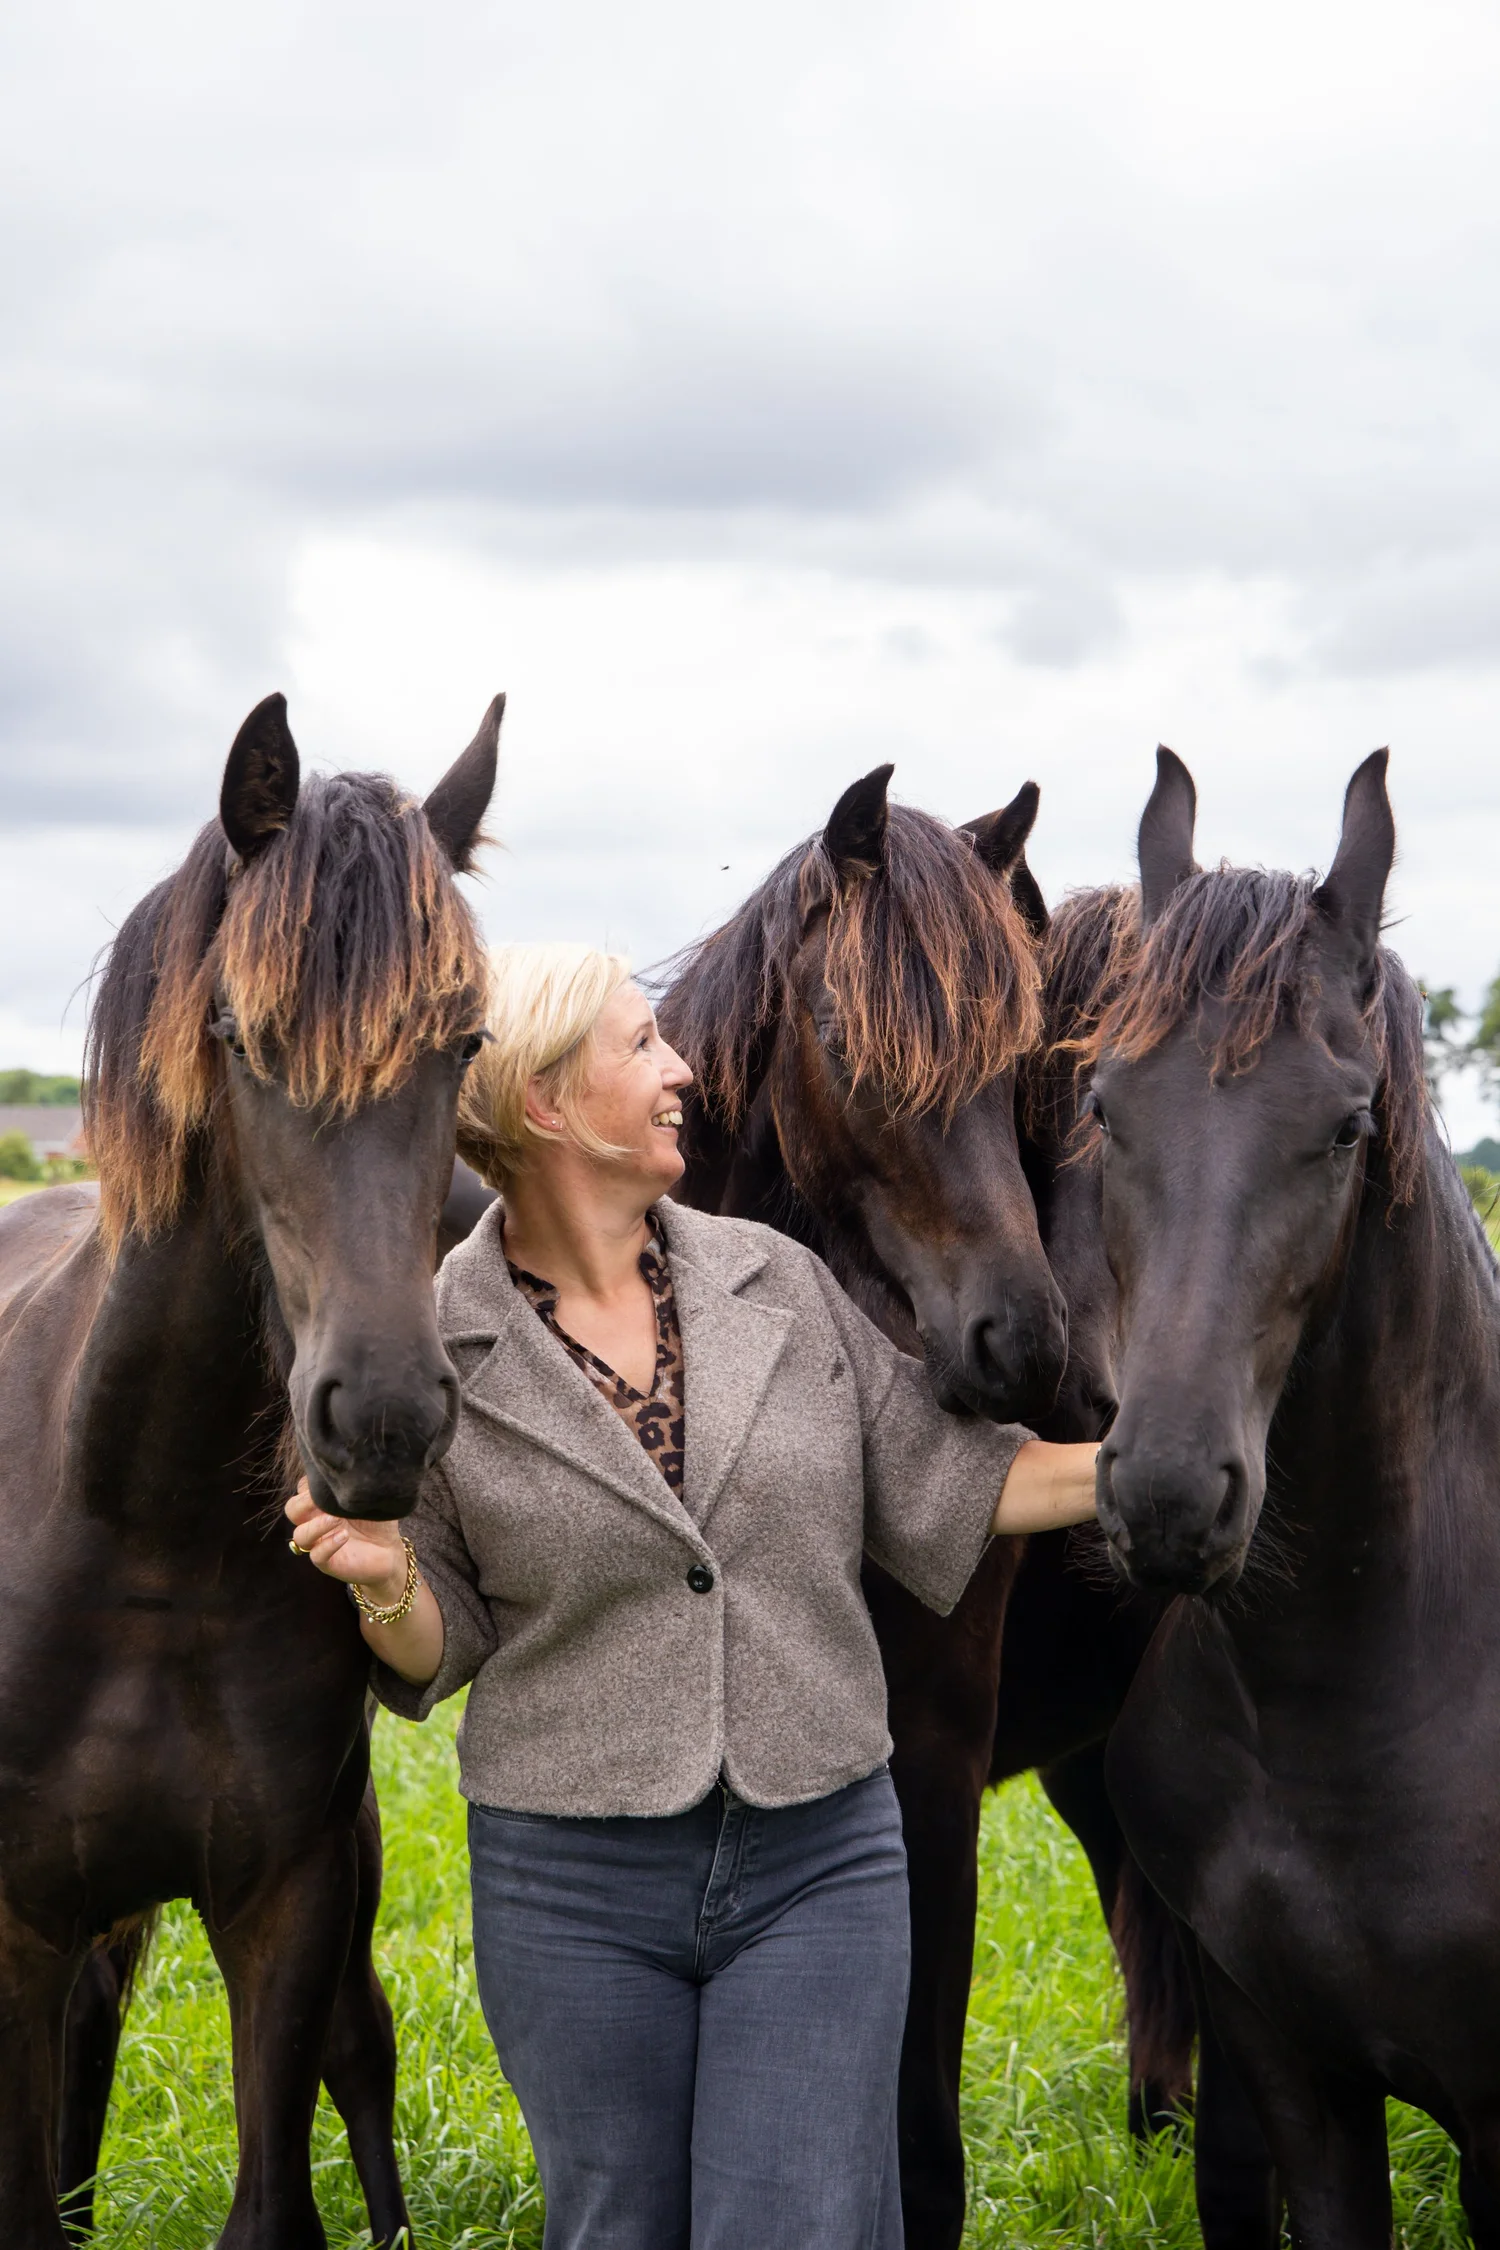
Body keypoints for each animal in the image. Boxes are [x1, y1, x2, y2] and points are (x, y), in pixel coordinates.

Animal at [0, 690, 499, 2249]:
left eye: (467, 1040)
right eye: (237, 1029)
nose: (383, 1420)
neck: (139, 1535)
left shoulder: (289, 1898)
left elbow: (277, 2198)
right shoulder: (16, 1924)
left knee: (363, 2053)